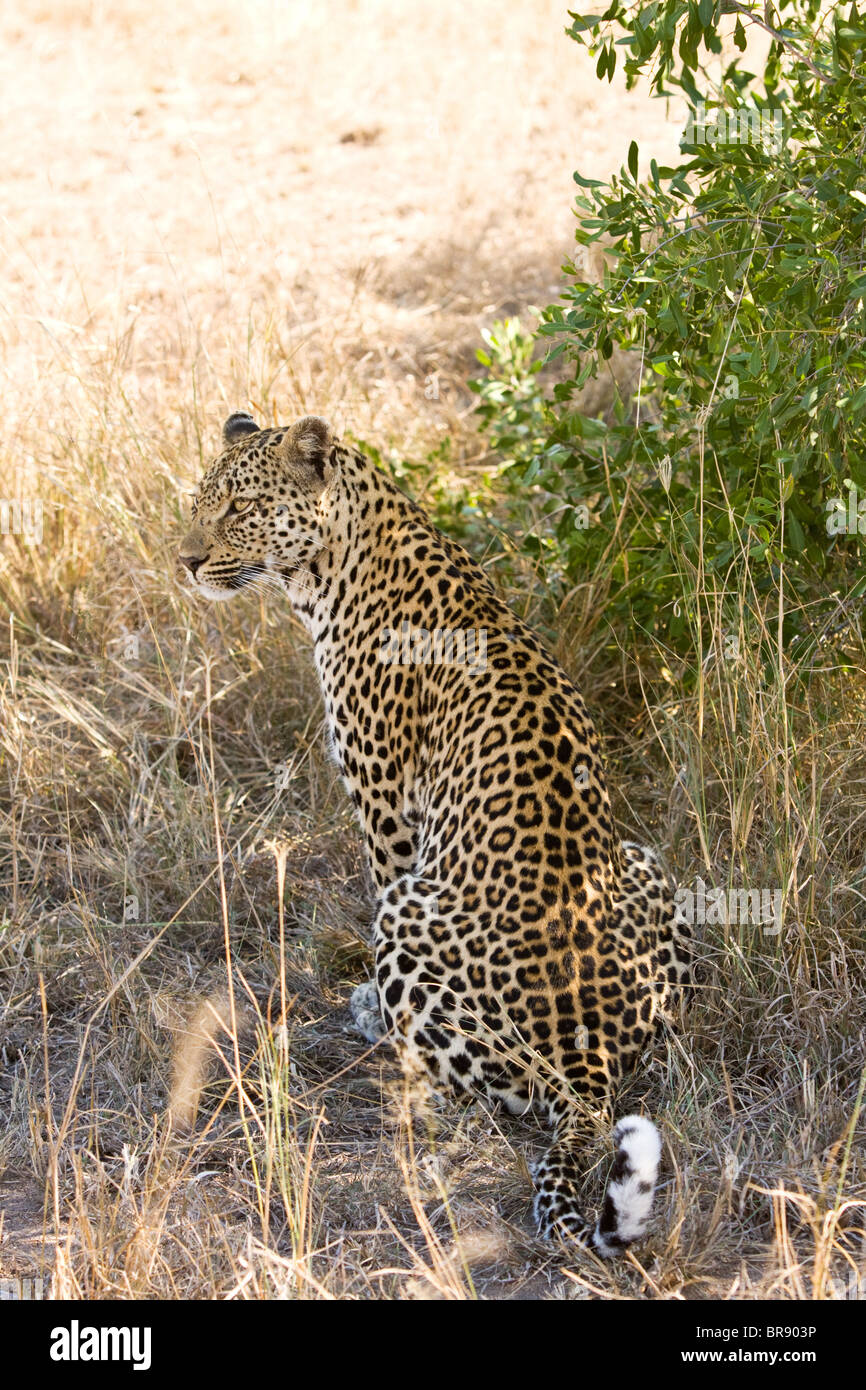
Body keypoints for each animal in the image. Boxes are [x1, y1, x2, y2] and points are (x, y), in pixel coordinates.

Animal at [178, 411, 691, 1251]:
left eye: (239, 508)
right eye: (199, 504)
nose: (186, 562)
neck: (333, 567)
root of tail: (590, 1068)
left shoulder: (385, 802)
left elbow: (379, 868)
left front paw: (364, 1002)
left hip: (411, 911)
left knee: (472, 1079)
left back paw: (371, 1022)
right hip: (645, 863)